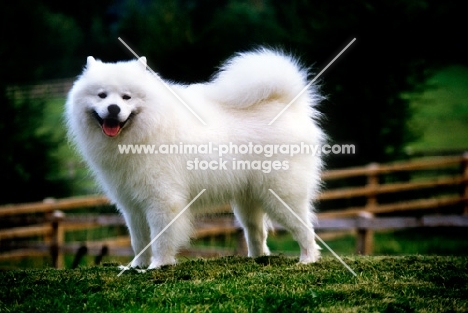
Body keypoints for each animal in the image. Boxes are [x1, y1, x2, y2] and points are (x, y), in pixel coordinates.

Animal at [65, 48, 322, 268]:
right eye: (101, 95)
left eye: (126, 97)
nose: (113, 109)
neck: (144, 131)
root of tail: (288, 104)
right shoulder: (132, 205)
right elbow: (138, 241)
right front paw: (136, 266)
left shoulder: (162, 201)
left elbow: (160, 238)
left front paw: (158, 265)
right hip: (248, 199)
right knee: (256, 231)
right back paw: (256, 258)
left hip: (281, 194)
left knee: (304, 228)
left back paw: (308, 259)